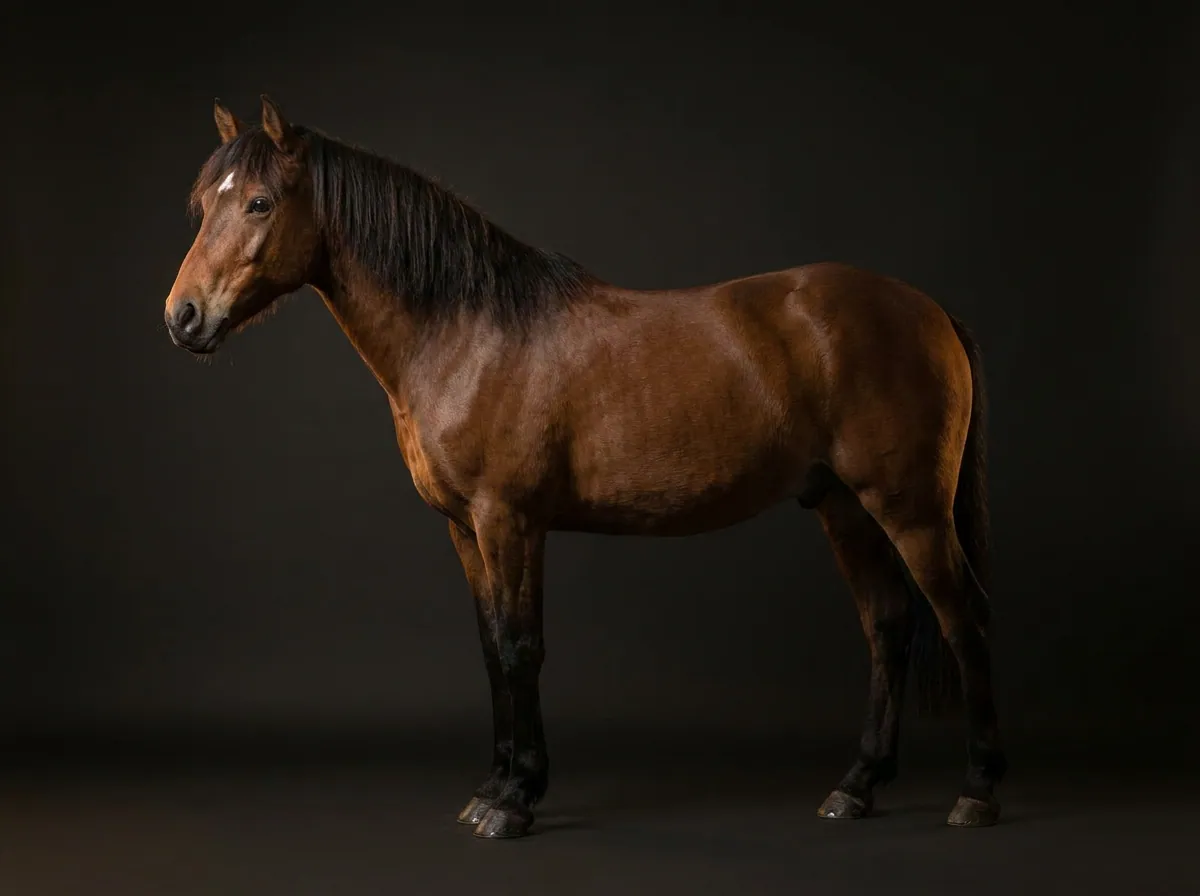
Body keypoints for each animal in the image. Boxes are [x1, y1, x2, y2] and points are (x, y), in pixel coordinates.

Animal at [162, 95, 1006, 839]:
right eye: (204, 204)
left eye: (260, 203)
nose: (183, 316)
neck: (467, 330)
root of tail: (929, 311)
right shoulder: (464, 529)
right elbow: (489, 649)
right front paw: (491, 787)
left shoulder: (510, 520)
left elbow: (520, 647)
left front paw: (514, 802)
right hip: (842, 505)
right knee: (888, 623)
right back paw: (856, 787)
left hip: (910, 508)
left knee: (962, 616)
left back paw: (976, 794)